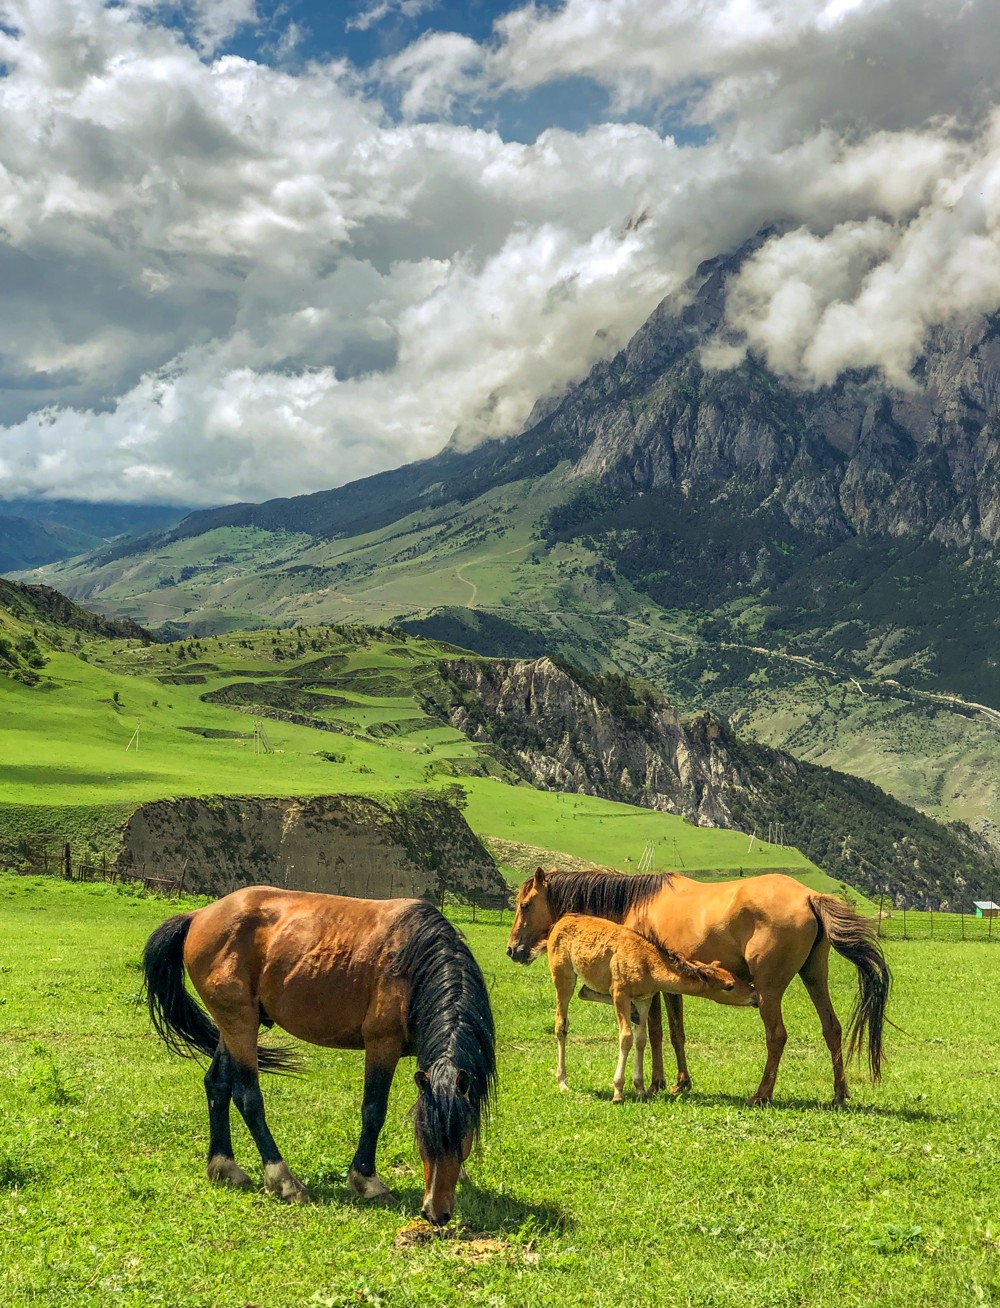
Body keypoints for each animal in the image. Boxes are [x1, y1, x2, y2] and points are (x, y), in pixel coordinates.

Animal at [142, 889, 494, 1224]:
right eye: (424, 1140)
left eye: (461, 1137)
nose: (436, 1212)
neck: (415, 962)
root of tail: (199, 915)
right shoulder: (382, 1044)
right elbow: (373, 1111)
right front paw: (367, 1181)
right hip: (240, 1023)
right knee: (247, 1096)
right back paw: (283, 1180)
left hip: (232, 1026)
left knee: (216, 1084)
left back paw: (224, 1166)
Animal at [546, 915, 758, 1098]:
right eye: (729, 986)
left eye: (734, 976)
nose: (755, 995)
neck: (648, 964)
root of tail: (560, 922)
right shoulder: (620, 993)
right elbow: (626, 1037)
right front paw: (618, 1091)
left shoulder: (644, 998)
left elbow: (641, 1039)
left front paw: (640, 1088)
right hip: (563, 977)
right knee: (561, 1024)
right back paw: (563, 1082)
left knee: (584, 992)